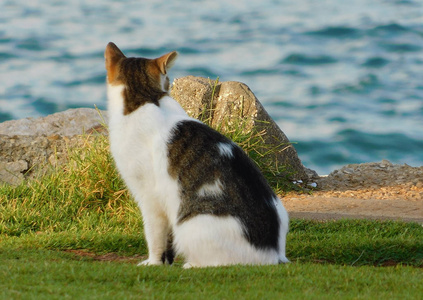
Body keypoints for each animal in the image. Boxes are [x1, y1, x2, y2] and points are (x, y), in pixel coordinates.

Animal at [106, 41, 292, 268]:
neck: (144, 97)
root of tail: (274, 255)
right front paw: (166, 262)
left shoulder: (149, 197)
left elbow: (155, 236)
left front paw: (153, 262)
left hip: (192, 225)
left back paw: (191, 264)